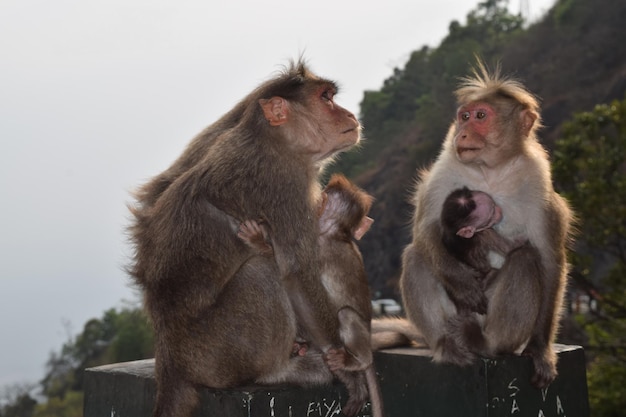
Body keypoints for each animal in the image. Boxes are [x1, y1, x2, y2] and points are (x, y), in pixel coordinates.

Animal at [127, 61, 360, 416]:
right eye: (326, 98)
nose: (350, 114)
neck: (274, 140)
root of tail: (170, 361)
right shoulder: (284, 184)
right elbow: (297, 274)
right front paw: (348, 372)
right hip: (217, 354)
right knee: (262, 271)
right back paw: (281, 370)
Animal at [239, 172, 386, 416]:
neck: (332, 232)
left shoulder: (315, 248)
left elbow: (291, 273)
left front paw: (259, 240)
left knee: (345, 315)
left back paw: (357, 362)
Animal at [372, 60, 572, 388]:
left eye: (481, 116)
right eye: (464, 117)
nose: (463, 134)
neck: (491, 170)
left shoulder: (540, 183)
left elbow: (548, 259)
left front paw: (540, 348)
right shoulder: (442, 171)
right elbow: (425, 231)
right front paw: (462, 283)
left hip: (488, 318)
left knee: (525, 259)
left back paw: (485, 343)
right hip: (454, 313)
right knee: (416, 255)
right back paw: (446, 345)